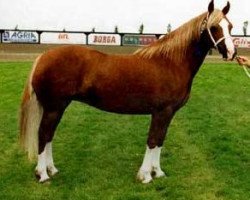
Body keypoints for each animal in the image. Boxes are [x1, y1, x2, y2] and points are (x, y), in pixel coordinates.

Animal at [20, 0, 236, 184]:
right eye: (214, 27)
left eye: (230, 26)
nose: (232, 53)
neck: (171, 62)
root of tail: (43, 57)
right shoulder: (161, 112)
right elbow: (152, 140)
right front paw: (146, 175)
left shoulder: (168, 113)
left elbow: (160, 140)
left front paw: (158, 172)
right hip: (54, 108)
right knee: (43, 134)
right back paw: (42, 175)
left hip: (58, 107)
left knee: (49, 135)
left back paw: (51, 170)